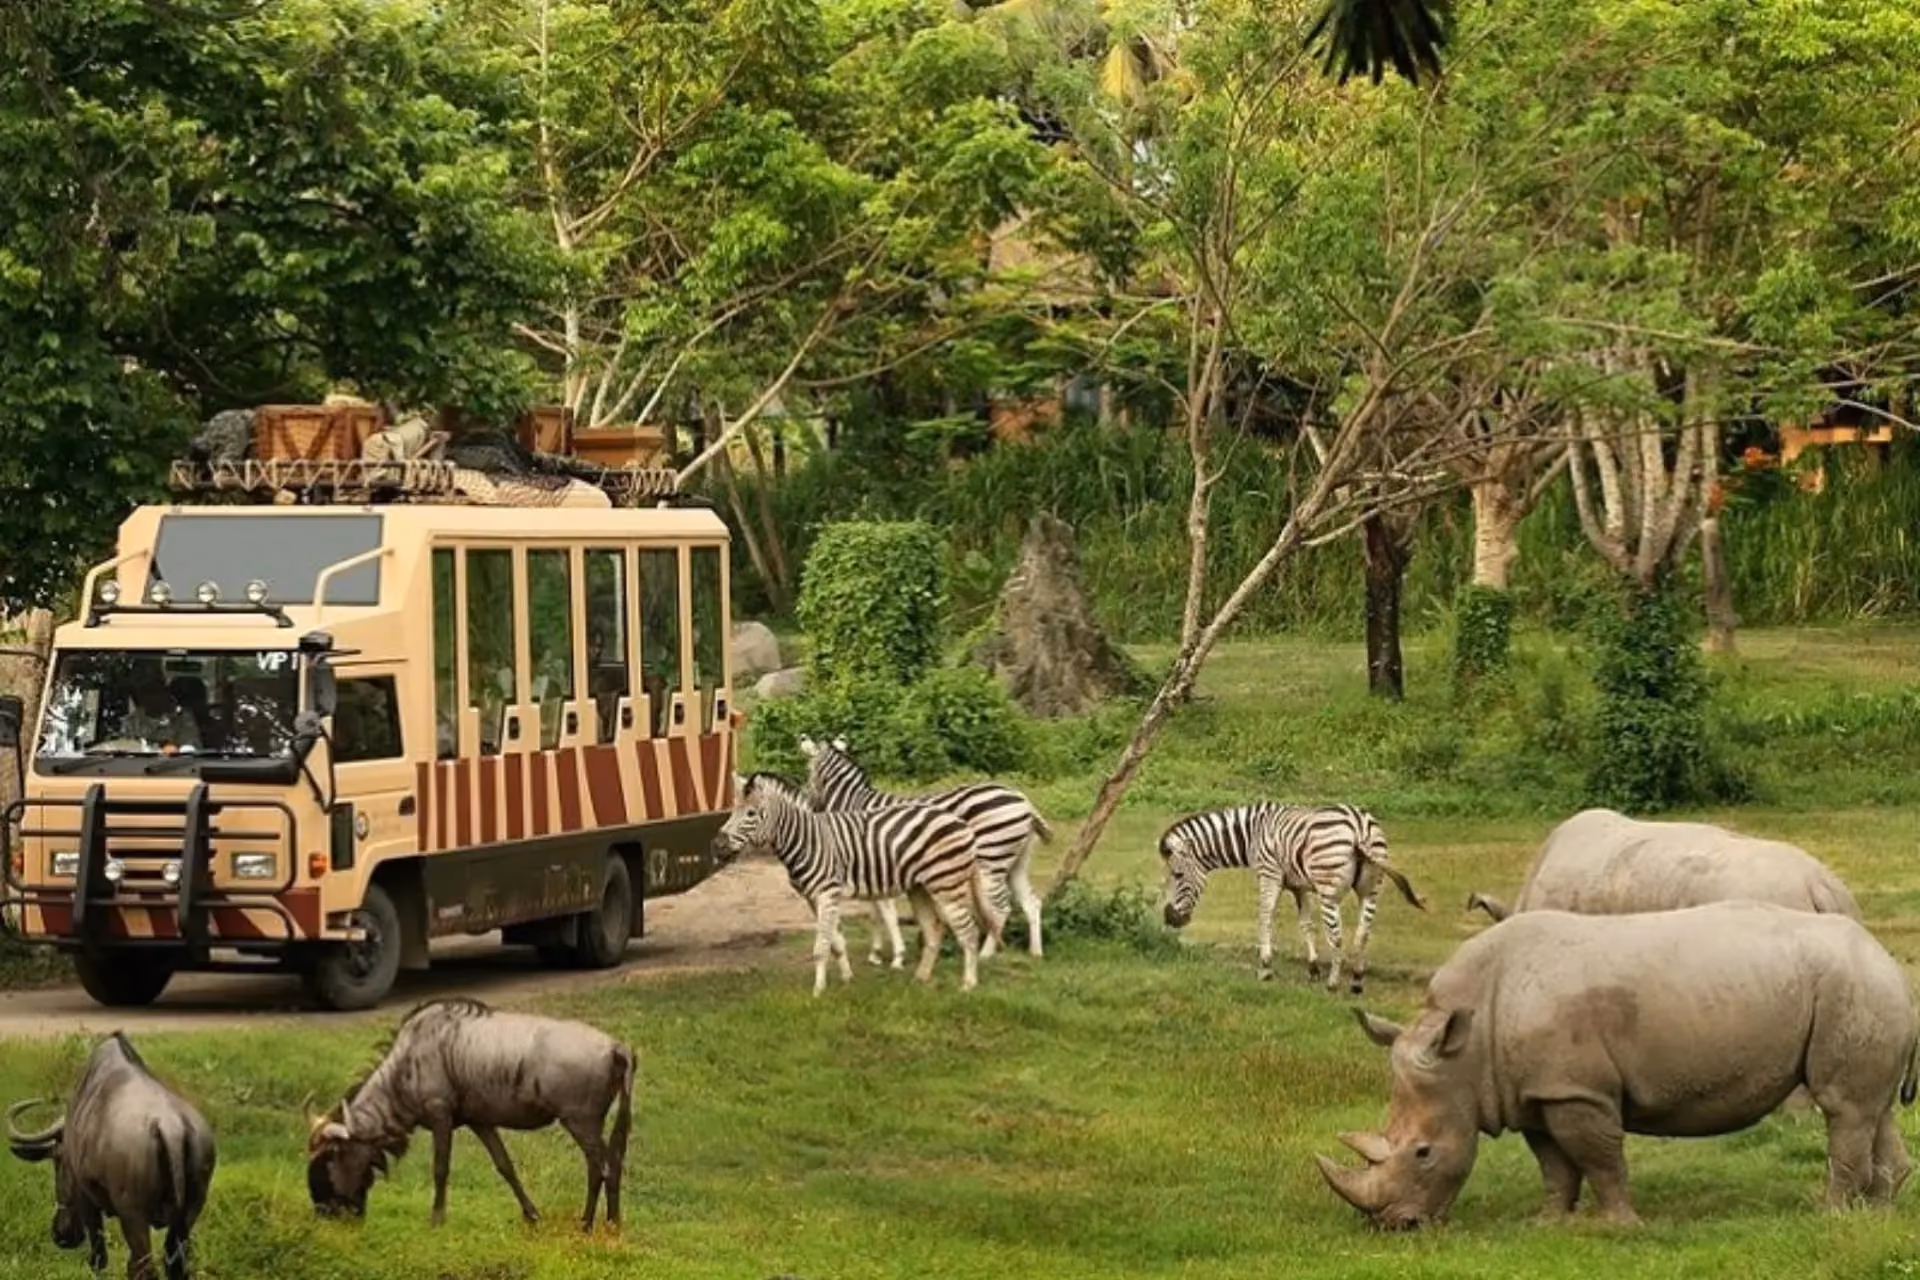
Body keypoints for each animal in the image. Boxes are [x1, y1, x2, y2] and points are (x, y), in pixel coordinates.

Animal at [717, 772, 1002, 995]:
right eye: (732, 812)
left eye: (751, 813)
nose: (717, 845)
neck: (807, 839)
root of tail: (961, 822)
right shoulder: (813, 898)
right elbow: (836, 942)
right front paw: (846, 978)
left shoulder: (827, 893)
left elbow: (821, 946)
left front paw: (817, 992)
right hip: (919, 887)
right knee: (934, 930)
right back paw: (920, 978)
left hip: (947, 885)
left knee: (968, 932)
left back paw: (968, 984)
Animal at [799, 736, 1048, 966]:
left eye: (807, 769)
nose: (810, 805)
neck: (857, 805)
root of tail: (1024, 800)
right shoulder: (870, 869)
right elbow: (875, 914)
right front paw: (876, 954)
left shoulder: (878, 864)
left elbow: (887, 914)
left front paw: (897, 956)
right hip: (1016, 861)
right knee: (1031, 902)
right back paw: (1035, 952)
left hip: (991, 858)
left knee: (1000, 907)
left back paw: (986, 953)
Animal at [1157, 802, 1426, 995]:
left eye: (1177, 875)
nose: (1169, 918)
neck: (1252, 835)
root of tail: (1359, 826)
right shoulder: (1299, 887)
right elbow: (1306, 925)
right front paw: (1313, 969)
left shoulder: (1269, 875)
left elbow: (1265, 918)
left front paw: (1265, 967)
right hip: (1370, 890)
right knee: (1363, 933)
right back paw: (1357, 981)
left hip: (1329, 890)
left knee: (1337, 936)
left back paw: (1333, 983)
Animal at [1316, 901, 1918, 1230]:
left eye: (1423, 1153)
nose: (1396, 1227)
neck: (1466, 1050)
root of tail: (1889, 962)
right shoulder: (1535, 1091)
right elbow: (1554, 1165)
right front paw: (1548, 1224)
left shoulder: (1576, 1090)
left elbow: (1600, 1158)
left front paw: (1621, 1226)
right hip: (1863, 989)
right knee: (1874, 1110)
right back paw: (1876, 1215)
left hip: (1851, 984)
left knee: (1843, 1108)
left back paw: (1828, 1214)